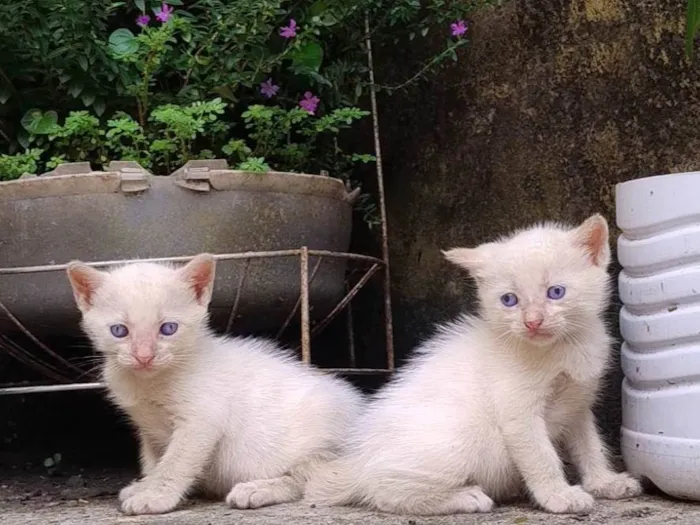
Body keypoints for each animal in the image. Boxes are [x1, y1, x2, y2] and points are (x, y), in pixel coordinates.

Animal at [65, 254, 364, 516]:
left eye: (168, 328)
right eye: (119, 331)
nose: (144, 356)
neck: (149, 383)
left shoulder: (201, 421)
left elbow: (175, 462)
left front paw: (156, 496)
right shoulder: (147, 429)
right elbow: (153, 461)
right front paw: (146, 484)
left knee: (310, 479)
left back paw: (256, 489)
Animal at [304, 214, 644, 516]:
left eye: (556, 292)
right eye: (509, 300)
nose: (532, 322)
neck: (564, 348)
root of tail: (358, 461)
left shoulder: (578, 404)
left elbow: (590, 445)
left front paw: (605, 482)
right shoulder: (518, 412)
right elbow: (540, 456)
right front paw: (558, 496)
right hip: (457, 438)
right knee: (383, 491)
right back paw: (465, 497)